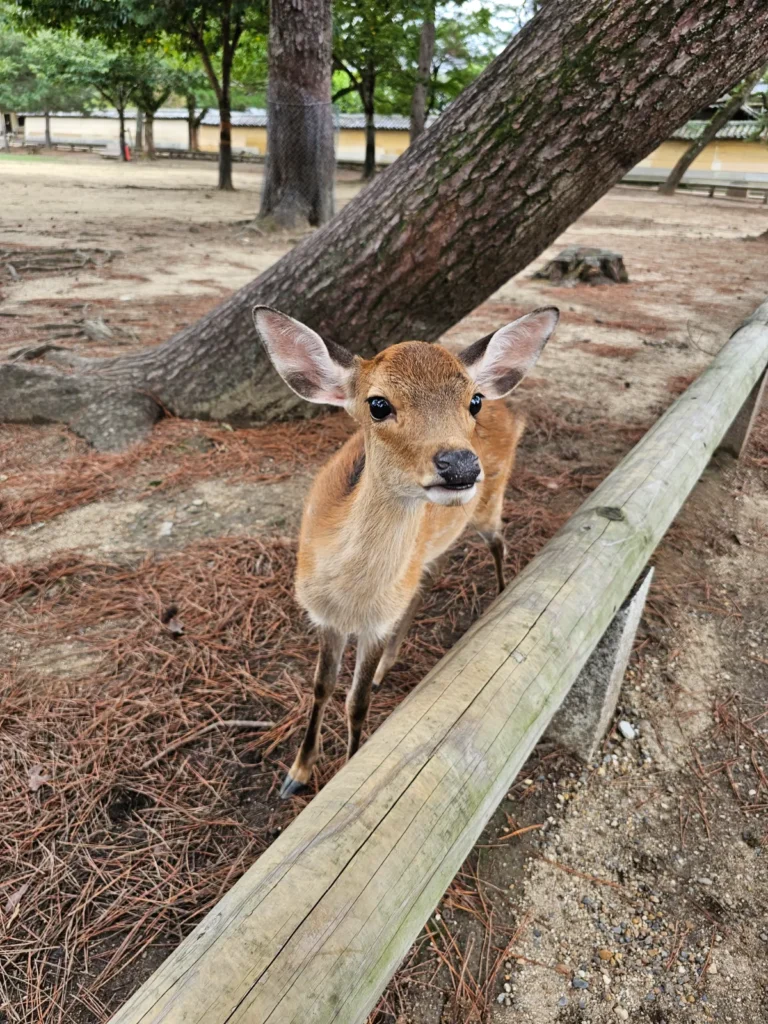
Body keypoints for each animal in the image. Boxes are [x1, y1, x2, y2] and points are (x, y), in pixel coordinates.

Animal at [253, 304, 559, 798]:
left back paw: (500, 596)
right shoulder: (324, 616)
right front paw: (296, 774)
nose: (460, 464)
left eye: (472, 401)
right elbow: (321, 686)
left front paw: (345, 771)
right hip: (435, 544)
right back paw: (388, 664)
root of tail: (511, 410)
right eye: (378, 404)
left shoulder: (376, 621)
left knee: (499, 540)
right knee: (429, 575)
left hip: (489, 506)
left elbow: (356, 703)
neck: (352, 597)